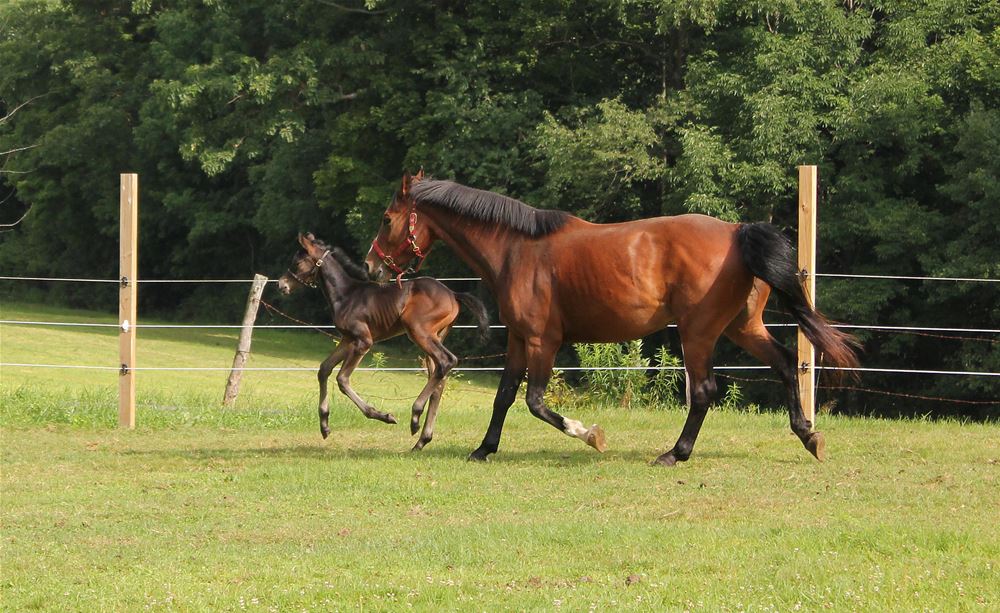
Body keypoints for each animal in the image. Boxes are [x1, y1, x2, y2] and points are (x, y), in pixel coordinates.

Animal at [278, 232, 490, 450]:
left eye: (297, 262)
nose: (281, 285)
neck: (346, 294)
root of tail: (453, 294)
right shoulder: (347, 339)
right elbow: (324, 369)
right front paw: (324, 425)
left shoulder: (363, 341)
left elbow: (342, 379)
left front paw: (384, 416)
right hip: (435, 336)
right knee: (440, 376)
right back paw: (422, 440)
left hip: (418, 331)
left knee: (447, 361)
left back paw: (415, 416)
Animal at [365, 172, 860, 466]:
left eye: (387, 219)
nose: (371, 268)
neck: (517, 249)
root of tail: (737, 233)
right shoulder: (518, 340)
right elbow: (503, 397)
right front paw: (484, 448)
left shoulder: (543, 341)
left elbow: (536, 402)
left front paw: (590, 435)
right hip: (742, 327)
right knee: (785, 364)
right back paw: (808, 435)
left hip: (698, 333)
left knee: (703, 391)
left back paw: (675, 454)